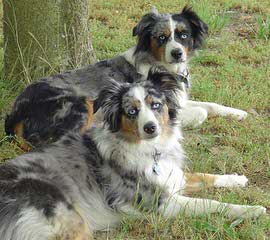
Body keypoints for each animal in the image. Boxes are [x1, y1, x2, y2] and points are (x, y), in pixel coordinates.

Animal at [0, 68, 266, 240]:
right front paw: (251, 210)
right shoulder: (160, 204)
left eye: (156, 105)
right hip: (72, 223)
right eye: (131, 111)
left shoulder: (173, 178)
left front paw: (237, 179)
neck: (151, 151)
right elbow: (210, 203)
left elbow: (204, 176)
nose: (151, 128)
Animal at [5, 5, 247, 149]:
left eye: (183, 35)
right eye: (161, 37)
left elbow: (211, 104)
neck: (162, 66)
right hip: (80, 103)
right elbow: (200, 112)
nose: (177, 53)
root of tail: (14, 112)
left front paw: (239, 113)